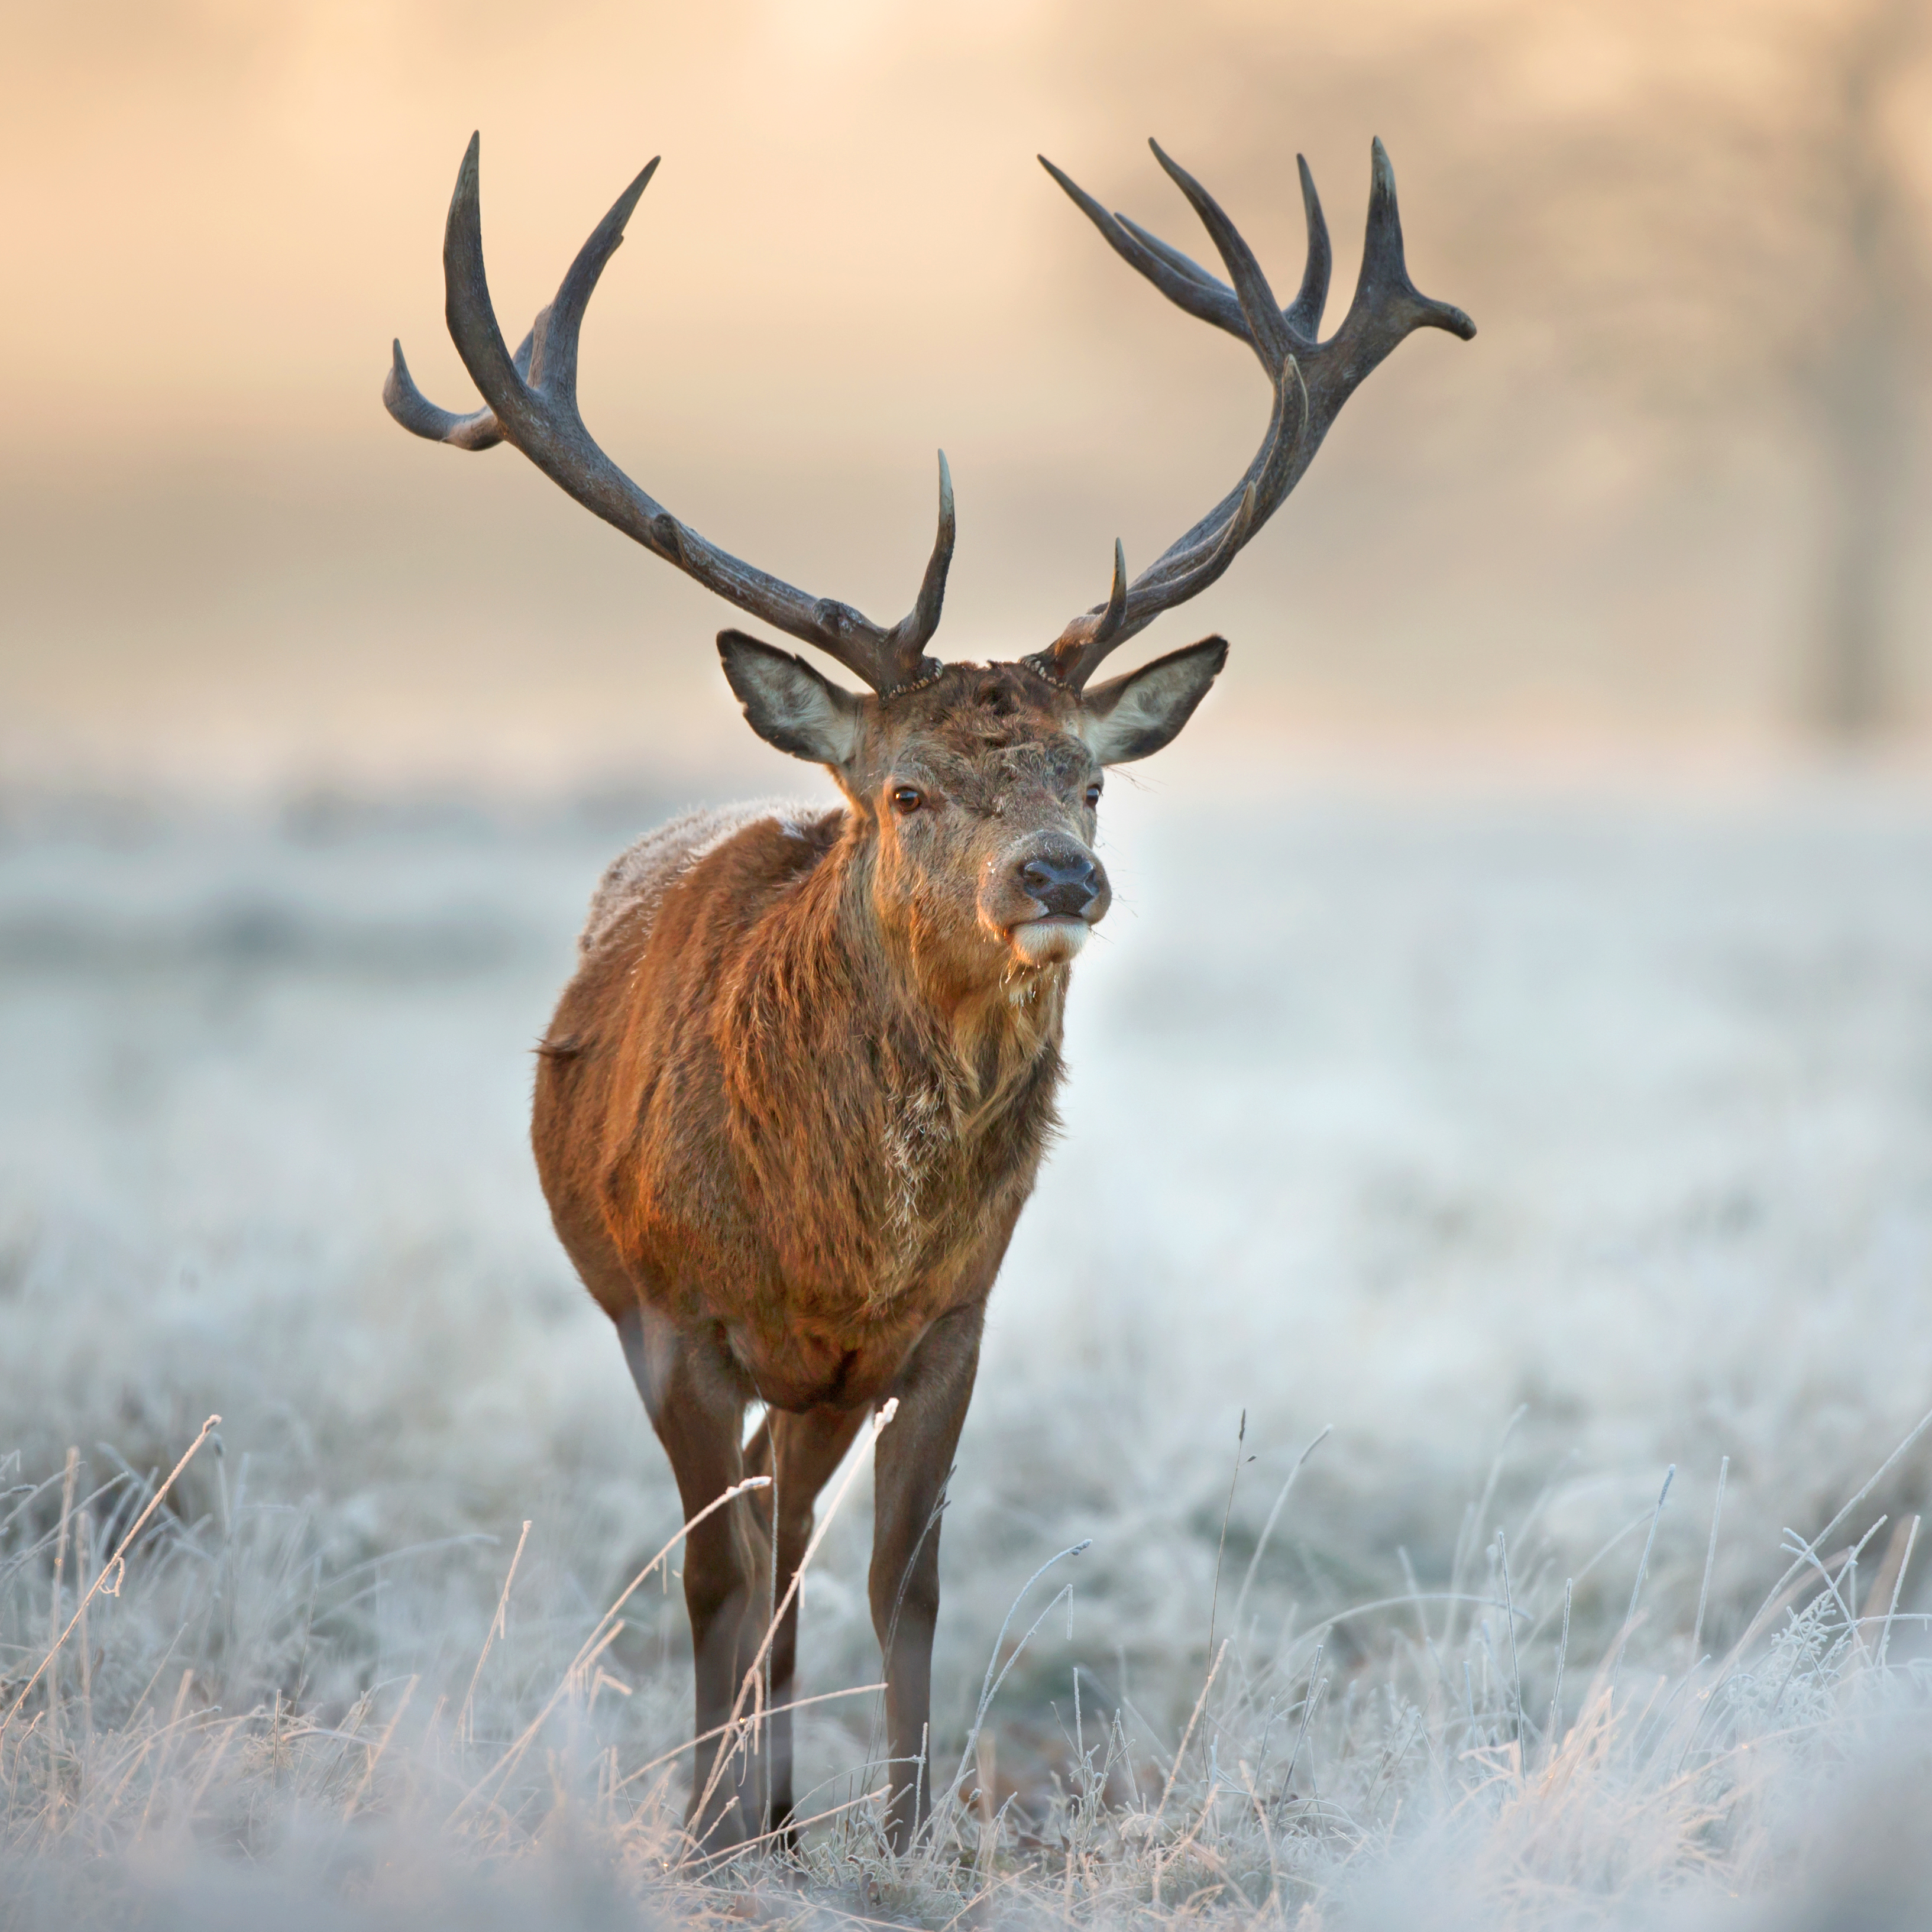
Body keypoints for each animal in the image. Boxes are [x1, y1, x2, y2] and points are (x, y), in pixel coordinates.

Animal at [384, 130, 1470, 1857]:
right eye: (904, 791)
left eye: (1088, 778)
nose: (1060, 878)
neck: (845, 1234)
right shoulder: (672, 1312)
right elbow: (712, 1572)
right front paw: (703, 1835)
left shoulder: (953, 1318)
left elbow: (906, 1577)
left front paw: (901, 1838)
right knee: (755, 1541)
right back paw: (743, 1806)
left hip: (826, 1383)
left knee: (797, 1525)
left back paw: (780, 1804)